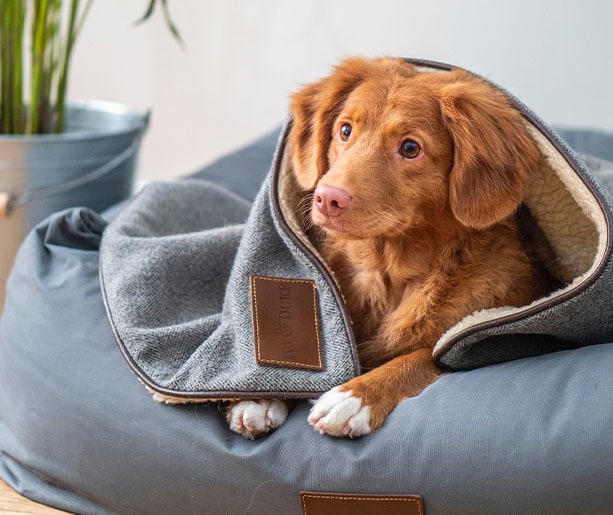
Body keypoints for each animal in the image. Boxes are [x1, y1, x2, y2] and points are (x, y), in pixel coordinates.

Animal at [227, 58, 552, 442]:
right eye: (345, 130)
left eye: (410, 148)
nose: (327, 198)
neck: (386, 270)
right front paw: (259, 395)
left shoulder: (490, 338)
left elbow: (424, 355)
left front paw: (356, 396)